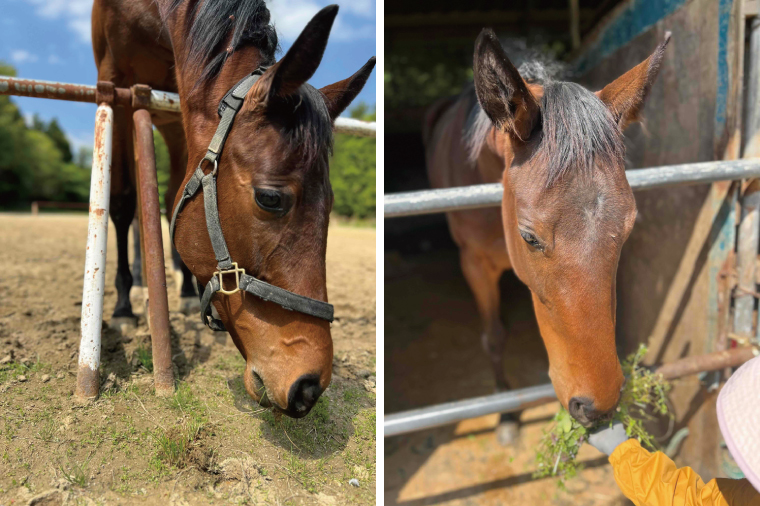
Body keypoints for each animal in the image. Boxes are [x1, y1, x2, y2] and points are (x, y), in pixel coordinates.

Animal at [91, 0, 374, 417]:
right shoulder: (115, 78)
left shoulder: (184, 98)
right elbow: (124, 200)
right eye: (269, 198)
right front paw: (124, 308)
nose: (309, 387)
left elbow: (173, 198)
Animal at [424, 29, 669, 442]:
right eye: (529, 237)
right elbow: (494, 337)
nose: (598, 406)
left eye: (628, 227)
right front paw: (506, 415)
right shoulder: (473, 263)